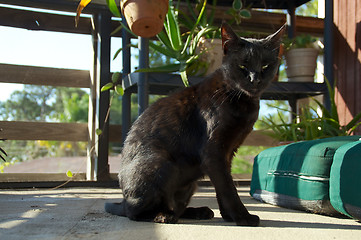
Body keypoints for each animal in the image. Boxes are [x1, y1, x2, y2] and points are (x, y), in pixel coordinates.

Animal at [104, 23, 284, 227]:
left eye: (265, 66)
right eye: (242, 66)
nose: (255, 79)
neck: (240, 99)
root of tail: (122, 199)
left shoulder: (228, 153)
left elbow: (223, 187)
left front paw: (228, 216)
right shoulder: (213, 152)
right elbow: (228, 188)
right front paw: (242, 217)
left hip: (189, 182)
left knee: (177, 206)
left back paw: (199, 211)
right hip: (162, 164)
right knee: (135, 212)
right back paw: (164, 216)